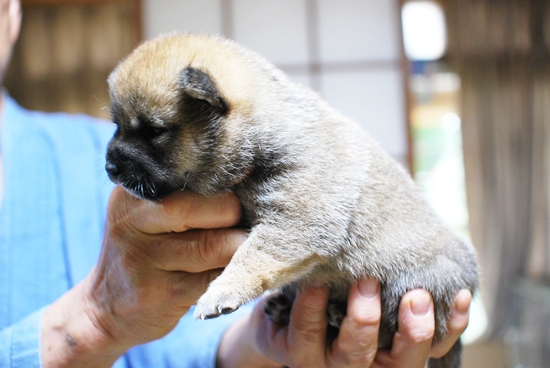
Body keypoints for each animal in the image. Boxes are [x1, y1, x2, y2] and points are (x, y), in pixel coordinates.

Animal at [106, 33, 478, 366]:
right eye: (116, 126)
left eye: (154, 131)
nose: (110, 166)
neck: (263, 130)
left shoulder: (296, 218)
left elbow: (252, 256)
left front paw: (223, 290)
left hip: (411, 287)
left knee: (390, 327)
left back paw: (336, 314)